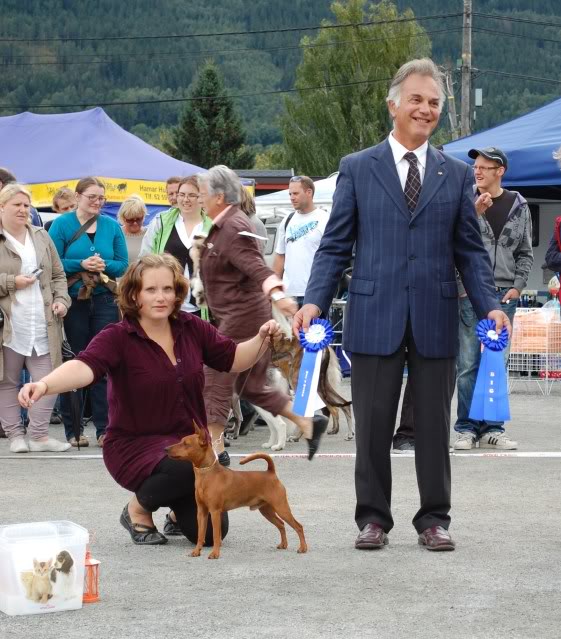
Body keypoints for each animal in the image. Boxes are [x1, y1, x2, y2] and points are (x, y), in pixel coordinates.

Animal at [166, 424, 306, 560]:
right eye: (181, 441)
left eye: (186, 444)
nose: (166, 449)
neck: (207, 474)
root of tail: (270, 473)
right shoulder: (202, 512)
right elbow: (200, 535)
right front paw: (196, 551)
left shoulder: (215, 512)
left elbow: (216, 536)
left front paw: (215, 554)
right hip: (266, 510)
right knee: (281, 524)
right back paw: (284, 544)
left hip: (281, 507)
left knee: (298, 526)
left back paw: (303, 548)